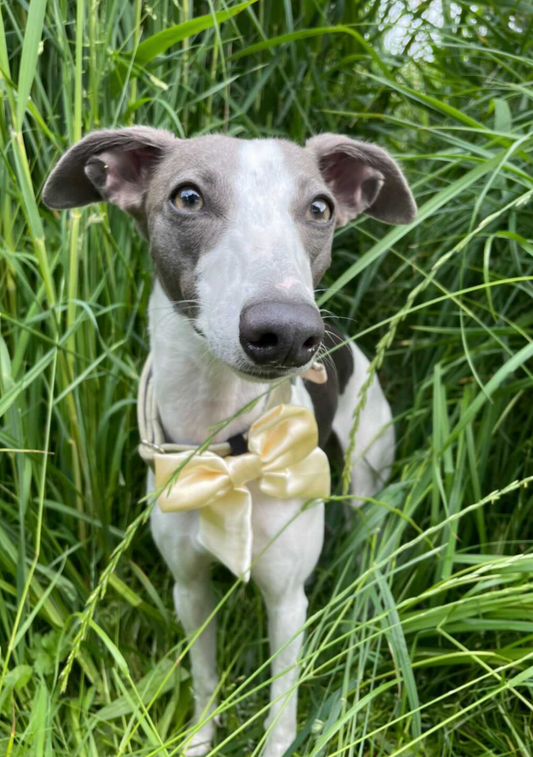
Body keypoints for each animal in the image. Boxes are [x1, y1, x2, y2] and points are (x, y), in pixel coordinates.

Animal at [42, 127, 416, 752]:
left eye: (320, 208)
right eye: (187, 197)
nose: (287, 331)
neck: (228, 450)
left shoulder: (287, 601)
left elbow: (281, 708)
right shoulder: (188, 587)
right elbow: (204, 674)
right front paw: (198, 738)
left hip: (369, 471)